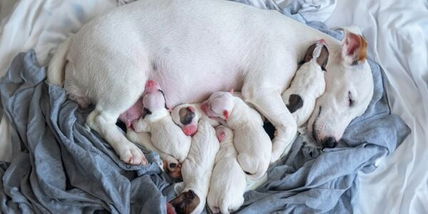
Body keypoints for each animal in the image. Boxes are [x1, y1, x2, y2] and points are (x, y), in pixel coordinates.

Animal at [48, 0, 372, 165]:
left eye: (356, 112)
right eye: (350, 98)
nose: (331, 144)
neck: (303, 43)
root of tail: (73, 41)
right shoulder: (259, 89)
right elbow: (290, 126)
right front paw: (275, 149)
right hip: (127, 80)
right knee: (98, 119)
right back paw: (128, 151)